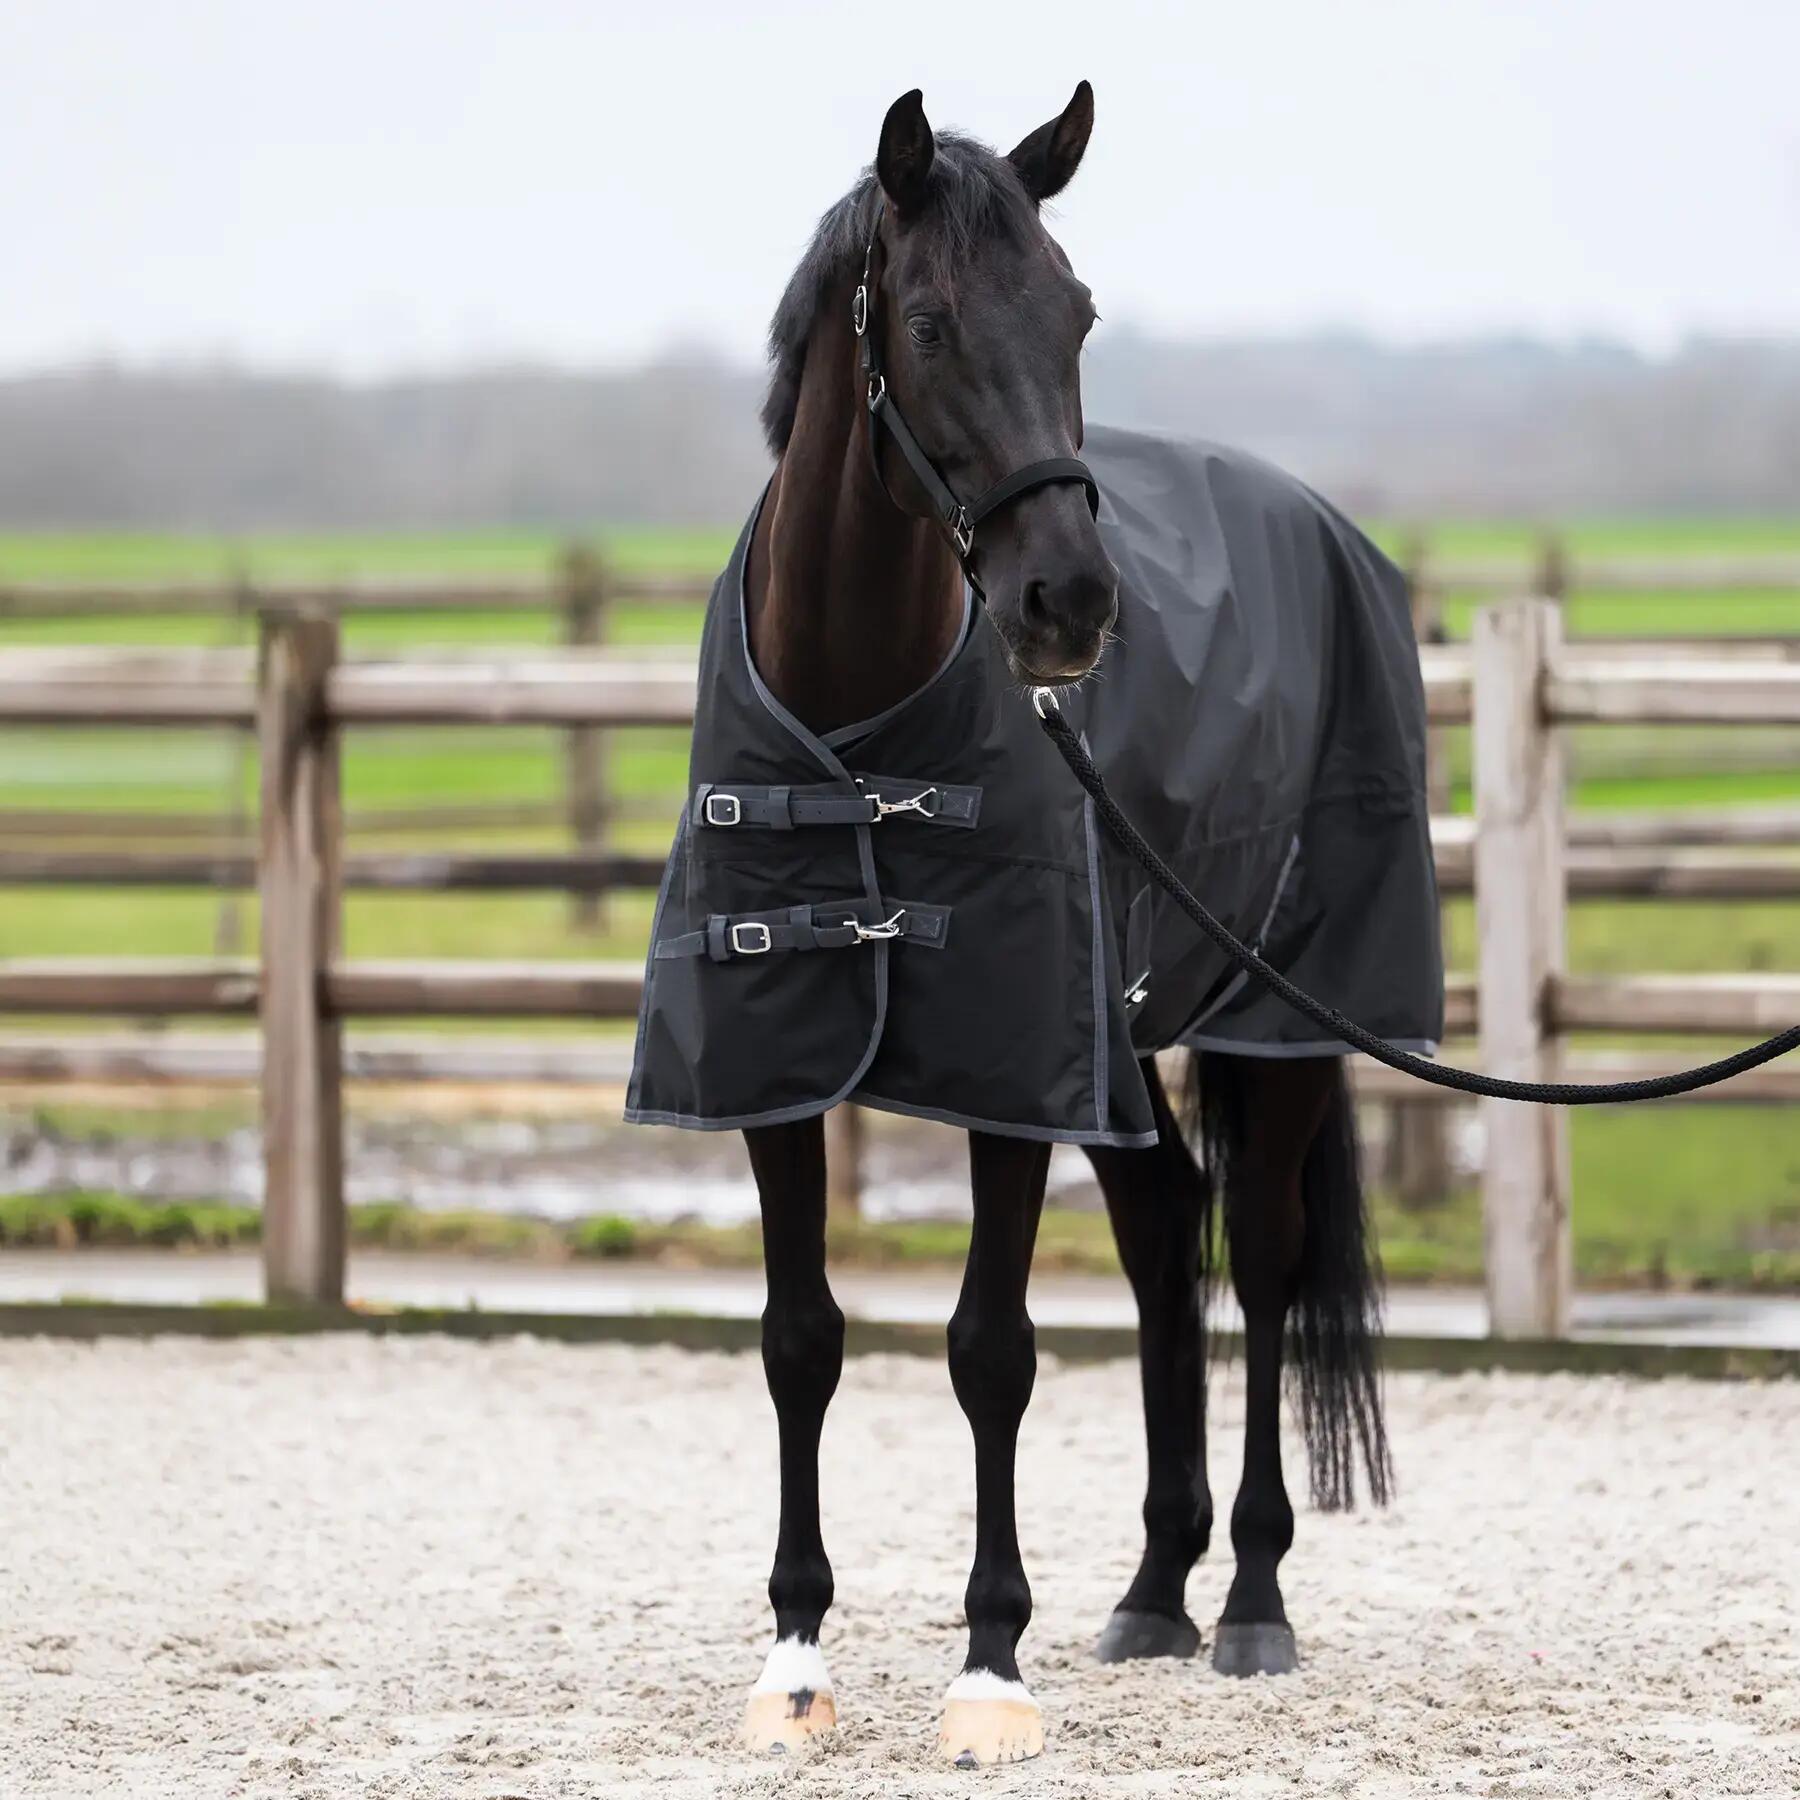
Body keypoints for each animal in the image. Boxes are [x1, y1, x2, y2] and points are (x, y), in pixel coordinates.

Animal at [626, 83, 1432, 1767]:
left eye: (1077, 314)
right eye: (928, 322)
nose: (1069, 603)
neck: (860, 723)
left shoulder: (1011, 1077)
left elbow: (990, 1351)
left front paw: (990, 1666)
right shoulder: (776, 1072)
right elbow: (800, 1337)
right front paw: (795, 1655)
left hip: (1282, 1022)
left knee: (1262, 1264)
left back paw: (1250, 1600)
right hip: (1127, 1060)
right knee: (1164, 1240)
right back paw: (1152, 1592)